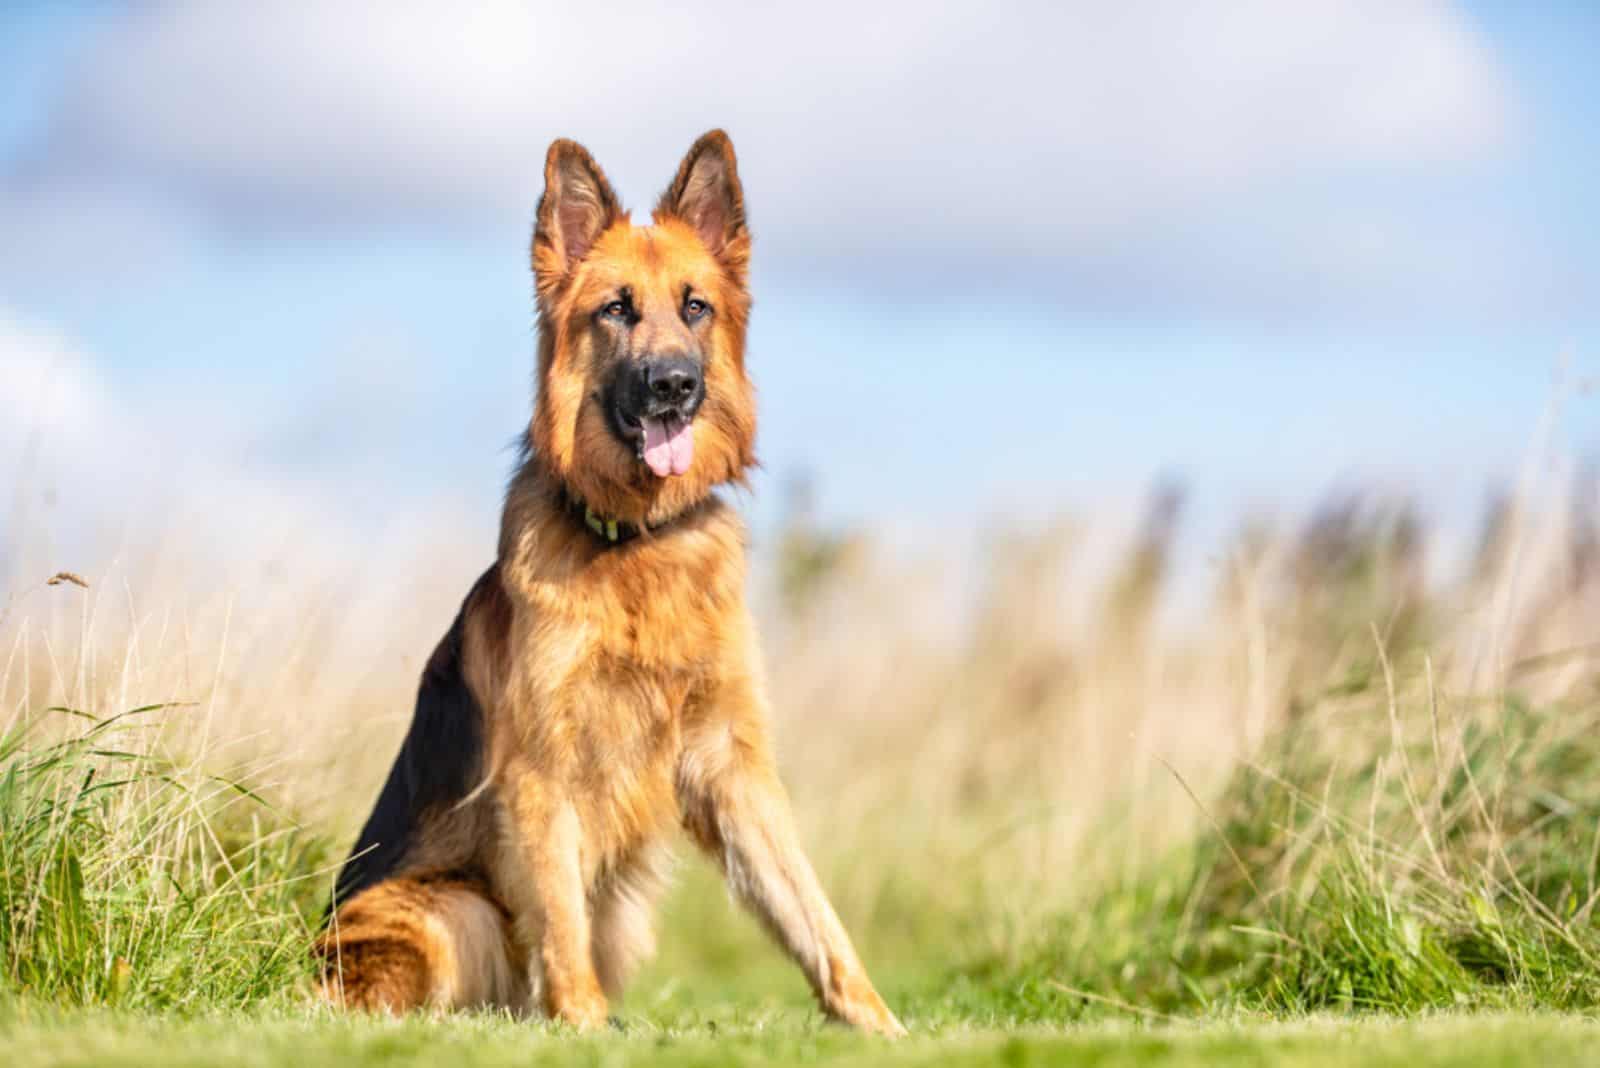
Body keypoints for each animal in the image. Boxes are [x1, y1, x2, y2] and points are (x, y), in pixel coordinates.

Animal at [315, 131, 902, 1036]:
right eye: (616, 311)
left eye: (695, 308)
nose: (673, 386)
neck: (635, 543)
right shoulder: (541, 773)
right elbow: (560, 916)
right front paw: (585, 1028)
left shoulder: (731, 764)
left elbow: (808, 906)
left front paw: (876, 1021)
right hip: (454, 912)